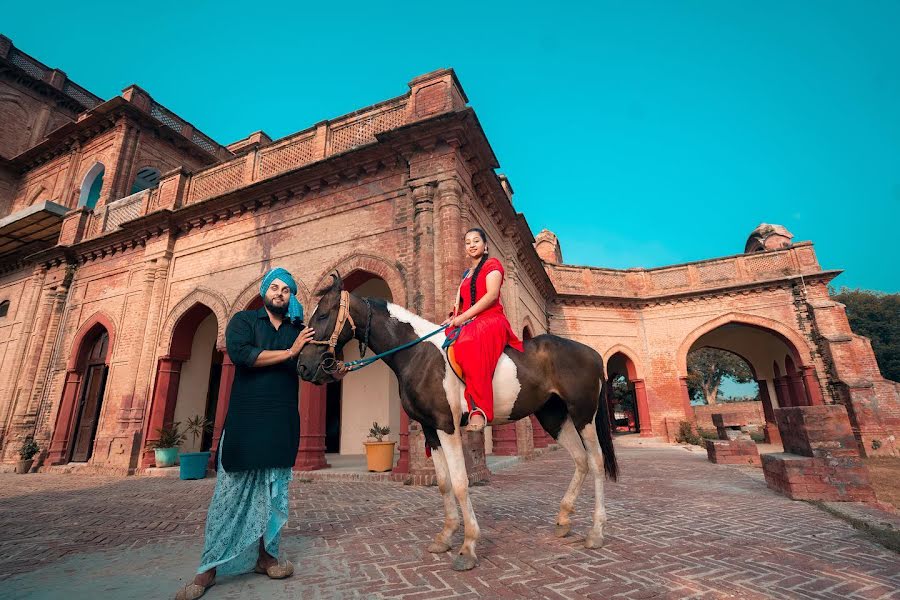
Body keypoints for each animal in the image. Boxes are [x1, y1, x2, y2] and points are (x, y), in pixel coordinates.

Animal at [298, 276, 620, 572]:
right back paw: (564, 519)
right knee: (580, 460)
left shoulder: (447, 425)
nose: (303, 365)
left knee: (595, 461)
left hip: (583, 416)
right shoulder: (430, 430)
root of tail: (592, 353)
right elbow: (443, 483)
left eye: (323, 314)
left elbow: (462, 483)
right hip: (554, 417)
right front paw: (445, 536)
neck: (419, 353)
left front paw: (468, 546)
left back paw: (596, 531)